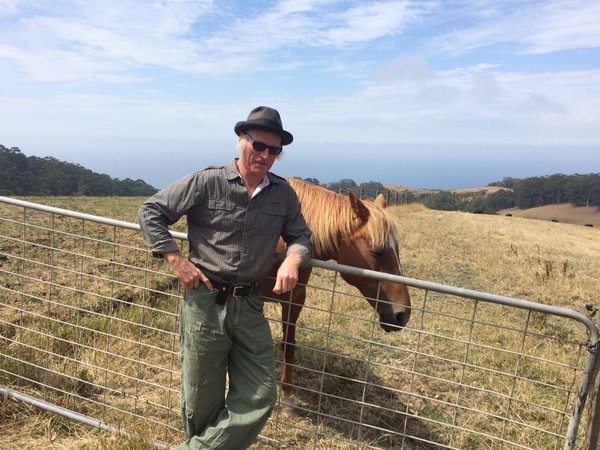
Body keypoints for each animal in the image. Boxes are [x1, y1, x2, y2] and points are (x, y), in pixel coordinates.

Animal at [260, 178, 410, 410]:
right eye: (376, 251)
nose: (402, 314)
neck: (282, 243)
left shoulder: (295, 299)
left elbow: (289, 345)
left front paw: (288, 396)